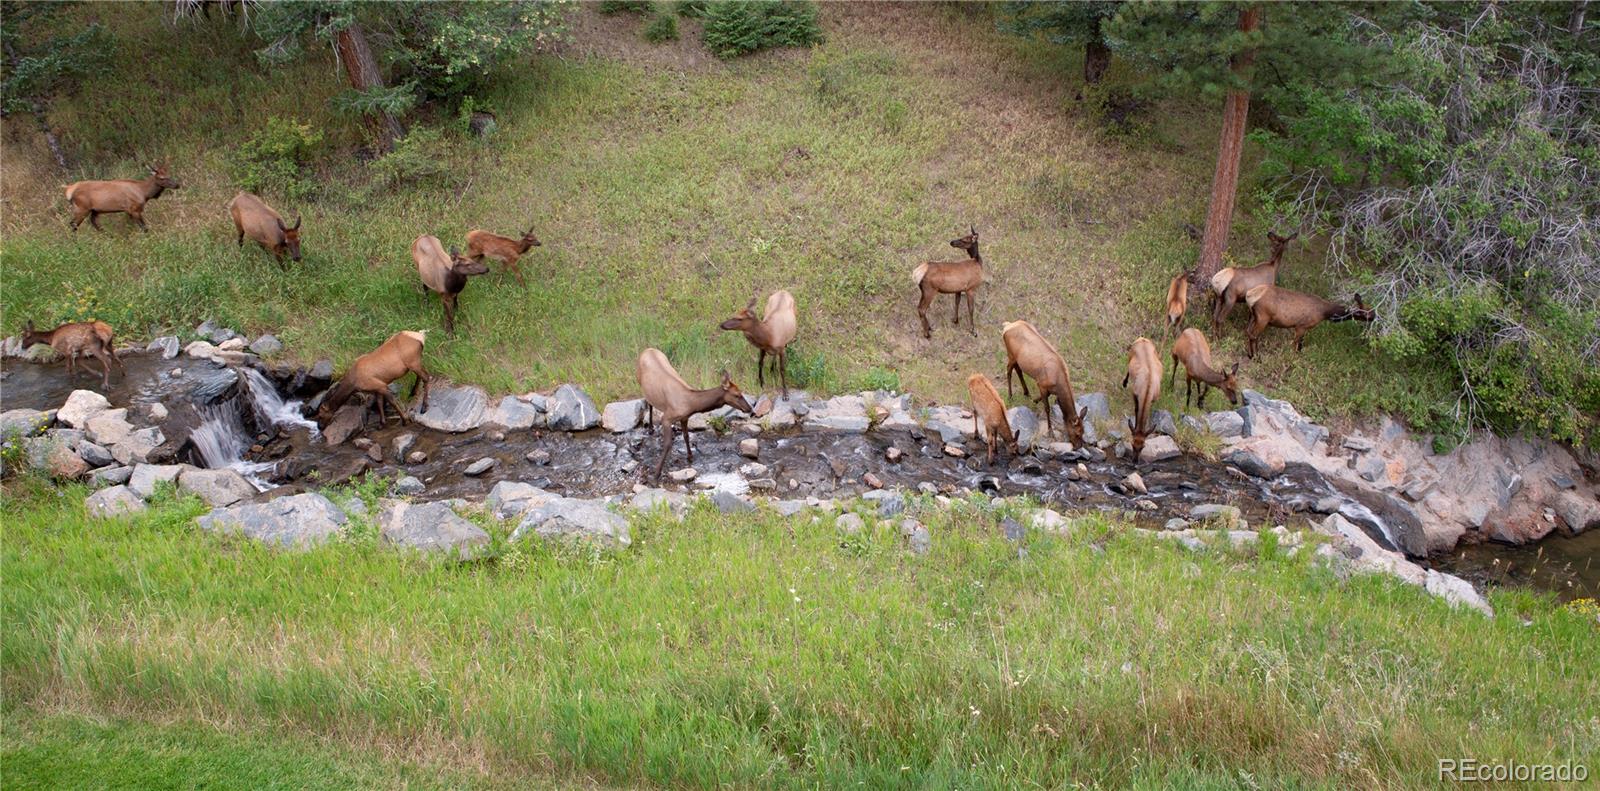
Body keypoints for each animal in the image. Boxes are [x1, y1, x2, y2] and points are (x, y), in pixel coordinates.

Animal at [636, 347, 755, 483]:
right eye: (737, 395)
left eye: (741, 392)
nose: (750, 408)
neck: (691, 404)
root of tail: (647, 349)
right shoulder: (667, 417)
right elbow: (667, 444)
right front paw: (656, 474)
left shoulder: (684, 417)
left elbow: (686, 436)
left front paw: (690, 456)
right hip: (639, 381)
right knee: (647, 402)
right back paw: (650, 428)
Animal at [1235, 285, 1376, 358]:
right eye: (1367, 313)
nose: (1374, 316)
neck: (1324, 313)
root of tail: (1249, 294)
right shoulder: (1301, 326)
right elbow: (1295, 346)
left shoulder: (1303, 328)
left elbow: (1300, 346)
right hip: (1263, 317)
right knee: (1253, 335)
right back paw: (1256, 356)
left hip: (1253, 316)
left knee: (1248, 332)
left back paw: (1250, 354)